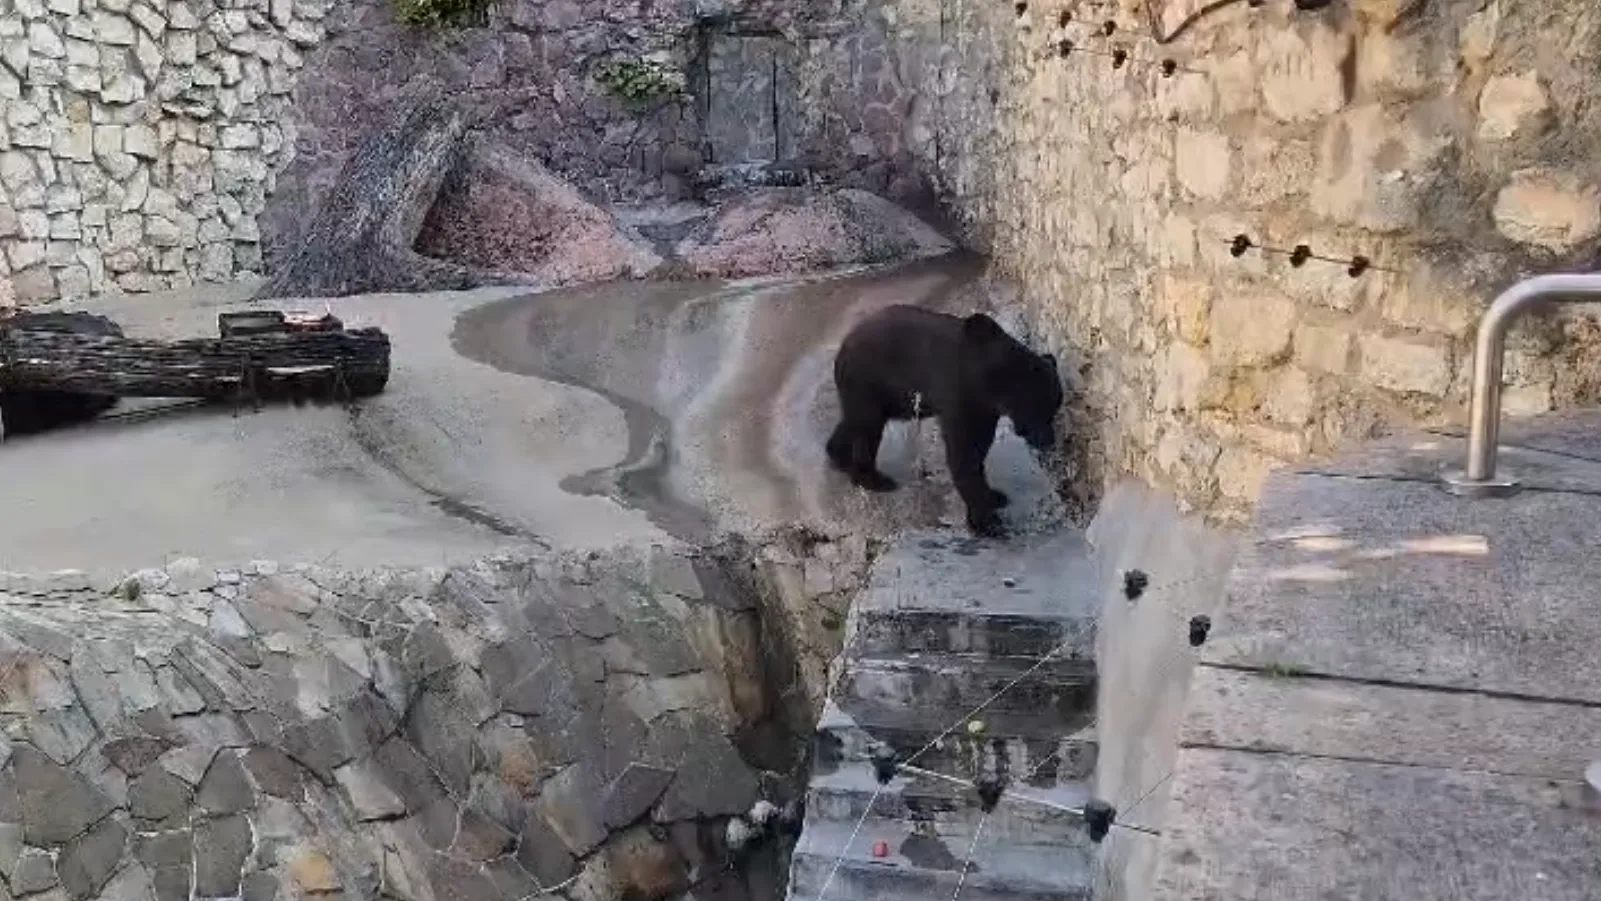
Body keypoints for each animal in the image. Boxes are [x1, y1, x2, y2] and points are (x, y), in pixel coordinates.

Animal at [826, 307, 1063, 540]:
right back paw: (874, 479)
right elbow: (964, 452)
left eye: (1054, 409)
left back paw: (839, 457)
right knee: (867, 427)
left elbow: (979, 447)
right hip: (868, 380)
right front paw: (988, 522)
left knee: (854, 422)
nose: (1048, 440)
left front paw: (995, 495)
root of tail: (843, 347)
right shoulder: (961, 392)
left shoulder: (985, 409)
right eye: (1044, 410)